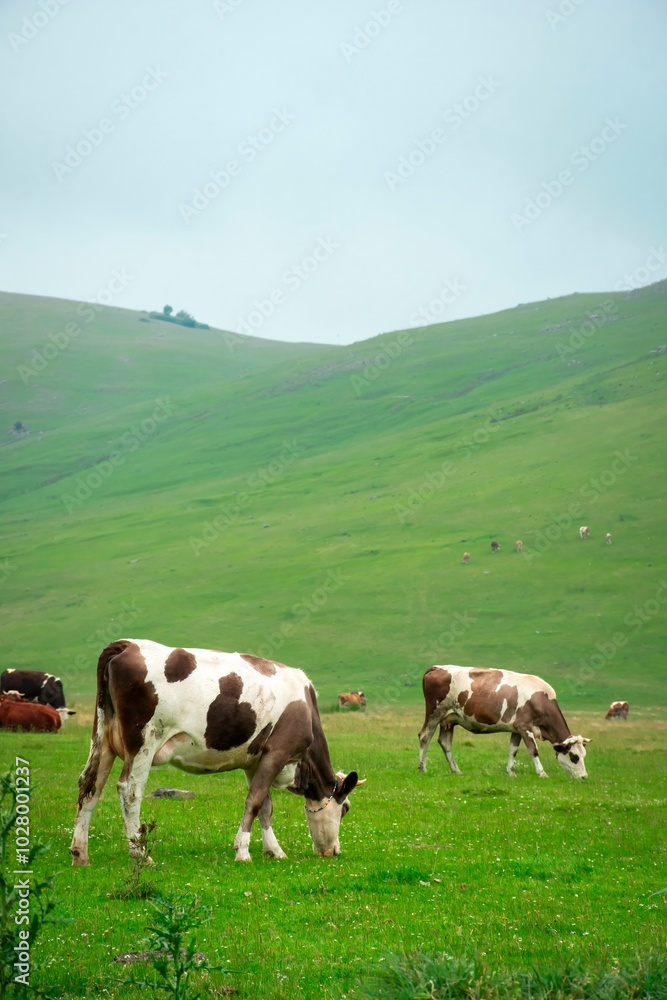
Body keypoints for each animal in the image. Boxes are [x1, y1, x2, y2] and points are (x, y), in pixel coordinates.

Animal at [71, 639, 361, 867]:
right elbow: (254, 801)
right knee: (129, 792)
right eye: (345, 808)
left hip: (103, 740)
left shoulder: (254, 761)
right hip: (143, 742)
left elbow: (265, 806)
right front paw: (242, 851)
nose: (333, 851)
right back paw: (140, 853)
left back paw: (80, 853)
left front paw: (274, 851)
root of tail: (127, 644)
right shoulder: (278, 751)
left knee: (90, 786)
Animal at [418, 665, 590, 778]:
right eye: (574, 757)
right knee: (425, 736)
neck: (540, 699)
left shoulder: (516, 729)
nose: (584, 776)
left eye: (584, 755)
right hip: (435, 713)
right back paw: (422, 768)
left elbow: (513, 750)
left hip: (449, 720)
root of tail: (437, 667)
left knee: (445, 742)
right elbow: (533, 750)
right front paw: (542, 773)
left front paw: (510, 771)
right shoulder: (525, 727)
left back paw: (456, 770)